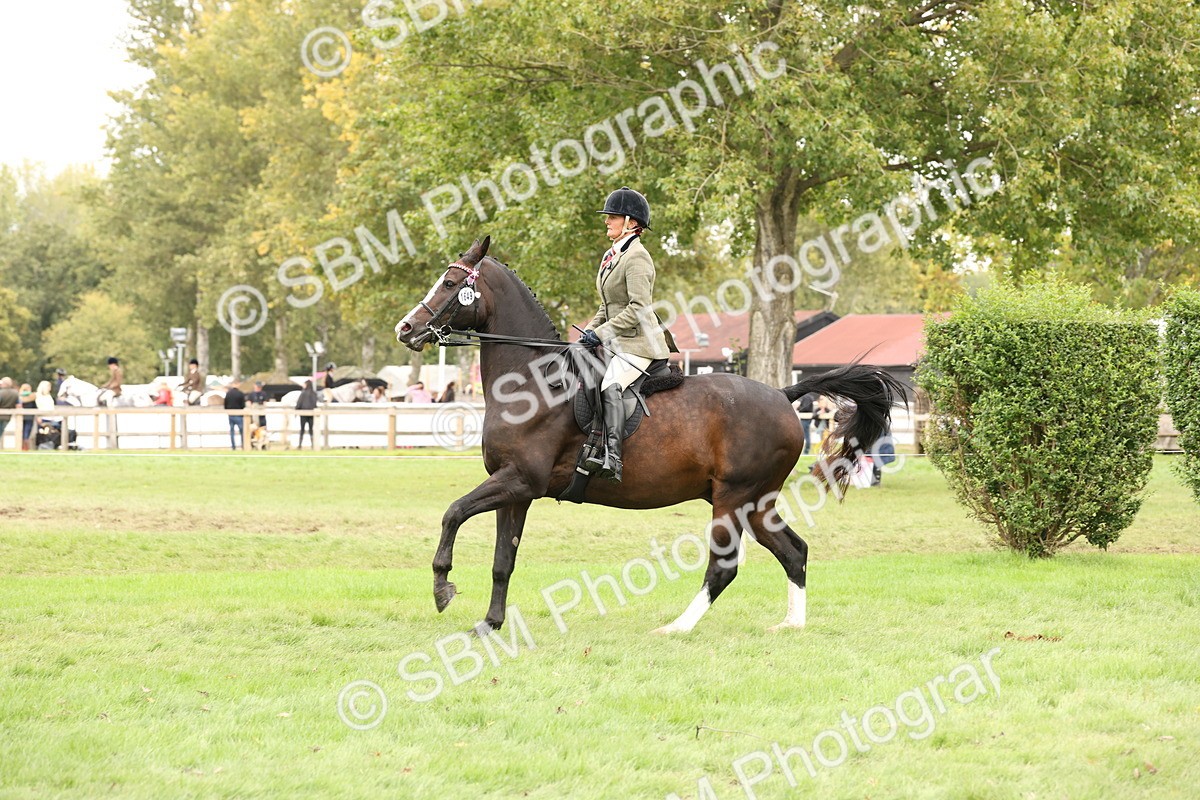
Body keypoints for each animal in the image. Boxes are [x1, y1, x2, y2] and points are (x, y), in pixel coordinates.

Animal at [394, 237, 904, 635]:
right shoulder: (515, 489)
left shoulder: (519, 480)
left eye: (449, 284)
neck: (533, 383)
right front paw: (490, 624)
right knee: (793, 552)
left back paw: (676, 627)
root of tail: (783, 394)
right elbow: (503, 559)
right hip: (756, 501)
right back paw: (792, 624)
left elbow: (452, 513)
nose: (406, 329)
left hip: (733, 498)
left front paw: (442, 588)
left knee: (724, 566)